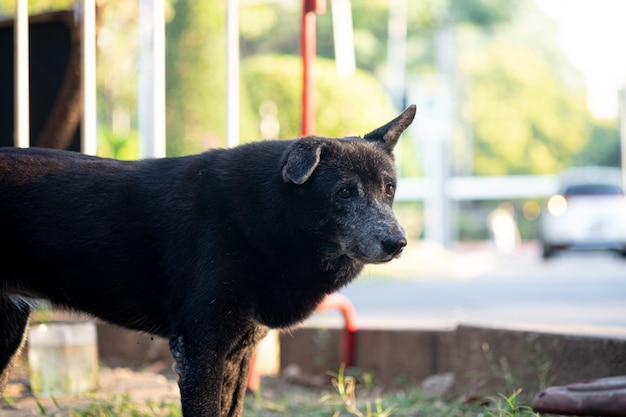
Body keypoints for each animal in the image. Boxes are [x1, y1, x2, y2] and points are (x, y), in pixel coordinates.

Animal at [2, 105, 416, 414]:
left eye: (389, 189)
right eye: (345, 192)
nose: (398, 243)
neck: (268, 216)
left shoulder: (237, 354)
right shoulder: (200, 349)